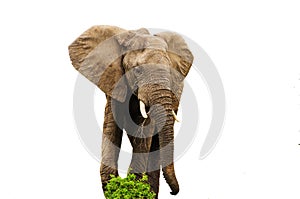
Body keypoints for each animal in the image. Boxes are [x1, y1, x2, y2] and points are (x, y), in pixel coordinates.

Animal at [68, 25, 195, 197]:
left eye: (170, 73)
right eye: (138, 71)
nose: (172, 192)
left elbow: (145, 129)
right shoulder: (114, 82)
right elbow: (112, 125)